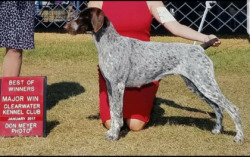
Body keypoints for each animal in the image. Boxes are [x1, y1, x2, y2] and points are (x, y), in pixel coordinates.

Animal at [64, 7, 244, 143]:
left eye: (82, 17)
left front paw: (114, 135)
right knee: (218, 108)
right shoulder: (109, 86)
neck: (109, 43)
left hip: (206, 84)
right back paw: (217, 130)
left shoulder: (118, 86)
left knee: (232, 108)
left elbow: (118, 113)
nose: (65, 26)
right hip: (197, 86)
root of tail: (200, 48)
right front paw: (111, 132)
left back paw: (239, 138)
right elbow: (113, 113)